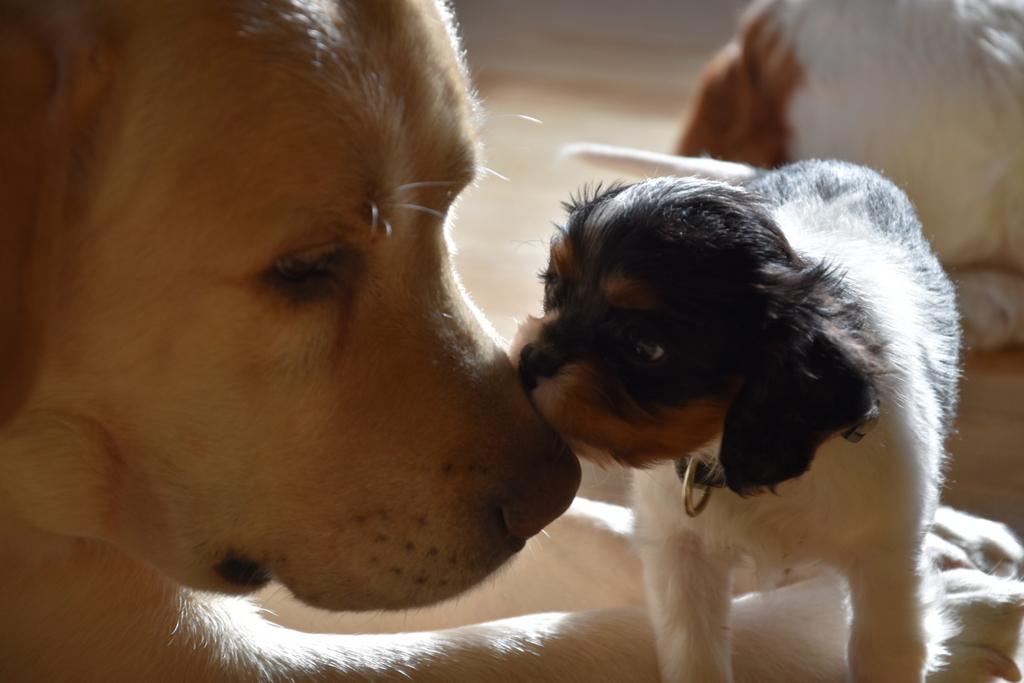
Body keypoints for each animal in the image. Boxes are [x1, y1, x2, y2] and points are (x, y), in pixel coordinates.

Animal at [515, 157, 959, 682]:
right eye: (554, 288)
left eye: (644, 346)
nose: (529, 361)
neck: (725, 445)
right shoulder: (679, 552)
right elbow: (693, 651)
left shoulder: (887, 557)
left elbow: (885, 649)